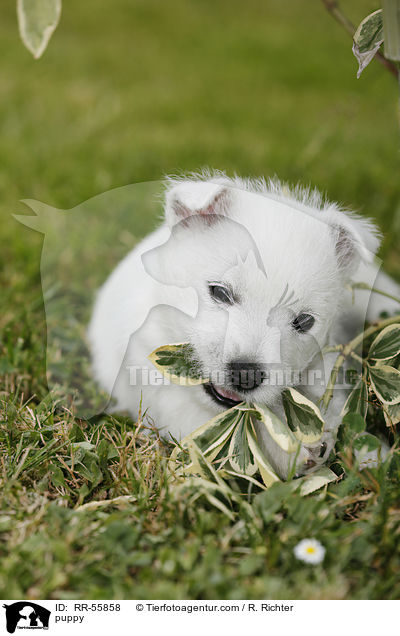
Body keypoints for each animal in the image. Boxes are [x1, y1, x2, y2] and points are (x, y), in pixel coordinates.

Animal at [86, 174, 396, 476]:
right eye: (220, 293)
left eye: (304, 321)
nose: (246, 374)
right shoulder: (151, 382)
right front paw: (288, 448)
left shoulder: (327, 361)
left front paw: (369, 453)